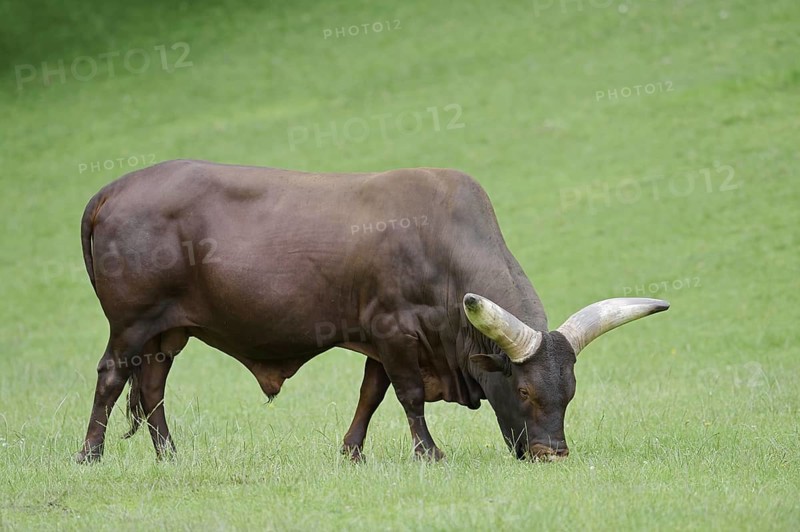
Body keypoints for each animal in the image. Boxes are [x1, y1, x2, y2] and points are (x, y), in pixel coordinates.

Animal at [75, 160, 668, 463]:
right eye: (523, 390)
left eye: (570, 392)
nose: (553, 454)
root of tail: (113, 189)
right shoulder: (395, 332)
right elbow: (407, 397)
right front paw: (429, 454)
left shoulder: (383, 341)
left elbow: (371, 394)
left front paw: (352, 453)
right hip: (130, 324)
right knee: (111, 377)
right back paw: (90, 454)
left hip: (168, 332)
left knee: (152, 386)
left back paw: (169, 455)